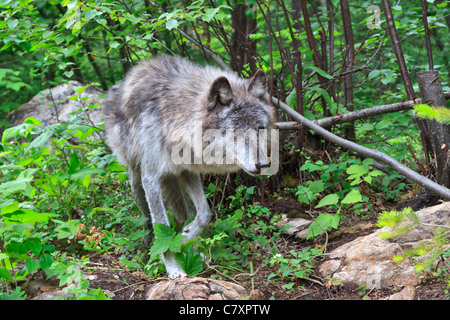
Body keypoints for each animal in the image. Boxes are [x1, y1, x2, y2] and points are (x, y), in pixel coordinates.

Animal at [103, 55, 276, 278]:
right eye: (236, 132)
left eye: (260, 129)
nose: (264, 164)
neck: (175, 118)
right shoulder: (151, 178)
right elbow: (162, 227)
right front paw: (173, 267)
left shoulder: (188, 170)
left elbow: (205, 214)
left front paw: (185, 238)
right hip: (136, 181)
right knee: (148, 220)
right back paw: (148, 245)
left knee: (188, 213)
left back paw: (193, 248)